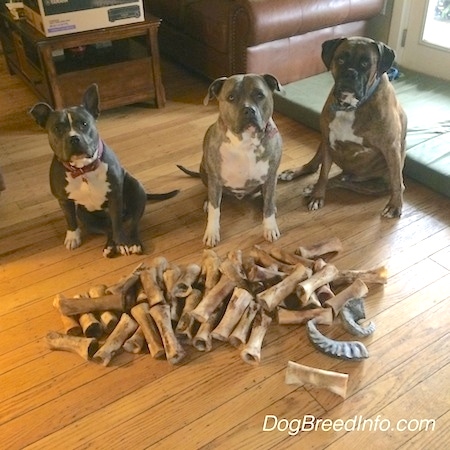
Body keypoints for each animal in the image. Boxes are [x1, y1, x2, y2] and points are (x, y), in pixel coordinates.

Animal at [29, 84, 178, 256]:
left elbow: (117, 225)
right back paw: (109, 246)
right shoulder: (63, 200)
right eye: (58, 128)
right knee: (108, 229)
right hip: (85, 215)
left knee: (131, 225)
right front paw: (73, 237)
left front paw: (122, 243)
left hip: (137, 190)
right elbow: (70, 220)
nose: (74, 138)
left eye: (84, 124)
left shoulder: (115, 198)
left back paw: (133, 243)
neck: (83, 170)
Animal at [178, 75, 284, 248]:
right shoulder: (215, 180)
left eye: (259, 95)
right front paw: (212, 232)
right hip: (204, 170)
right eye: (231, 97)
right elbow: (215, 210)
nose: (248, 110)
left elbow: (268, 206)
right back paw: (207, 201)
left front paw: (270, 227)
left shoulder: (271, 176)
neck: (244, 143)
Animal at [280, 37, 406, 218]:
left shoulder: (391, 148)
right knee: (316, 167)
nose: (350, 73)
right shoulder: (328, 140)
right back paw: (297, 175)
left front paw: (395, 205)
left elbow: (397, 182)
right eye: (340, 59)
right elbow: (323, 173)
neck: (350, 106)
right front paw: (317, 196)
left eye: (366, 63)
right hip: (324, 142)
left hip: (372, 184)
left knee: (343, 181)